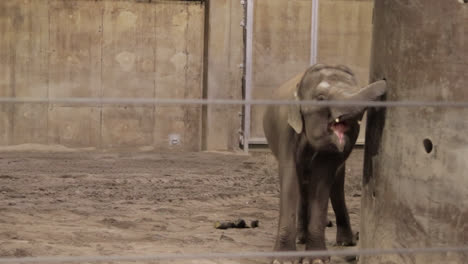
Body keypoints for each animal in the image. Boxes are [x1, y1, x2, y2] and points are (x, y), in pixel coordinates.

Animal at [262, 64, 386, 264]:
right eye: (320, 98)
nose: (384, 81)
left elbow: (321, 182)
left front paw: (317, 259)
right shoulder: (286, 132)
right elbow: (289, 180)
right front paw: (283, 260)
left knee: (336, 188)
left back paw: (345, 242)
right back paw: (301, 237)